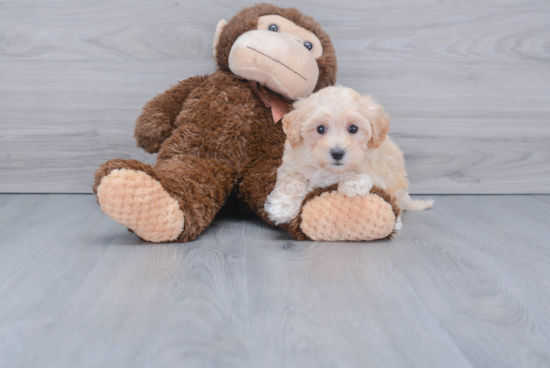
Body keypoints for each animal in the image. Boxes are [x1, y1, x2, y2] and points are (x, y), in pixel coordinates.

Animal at [268, 85, 436, 227]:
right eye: (320, 129)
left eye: (353, 129)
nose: (337, 153)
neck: (330, 170)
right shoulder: (291, 165)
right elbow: (293, 181)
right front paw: (282, 208)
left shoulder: (378, 171)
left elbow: (364, 173)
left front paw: (353, 183)